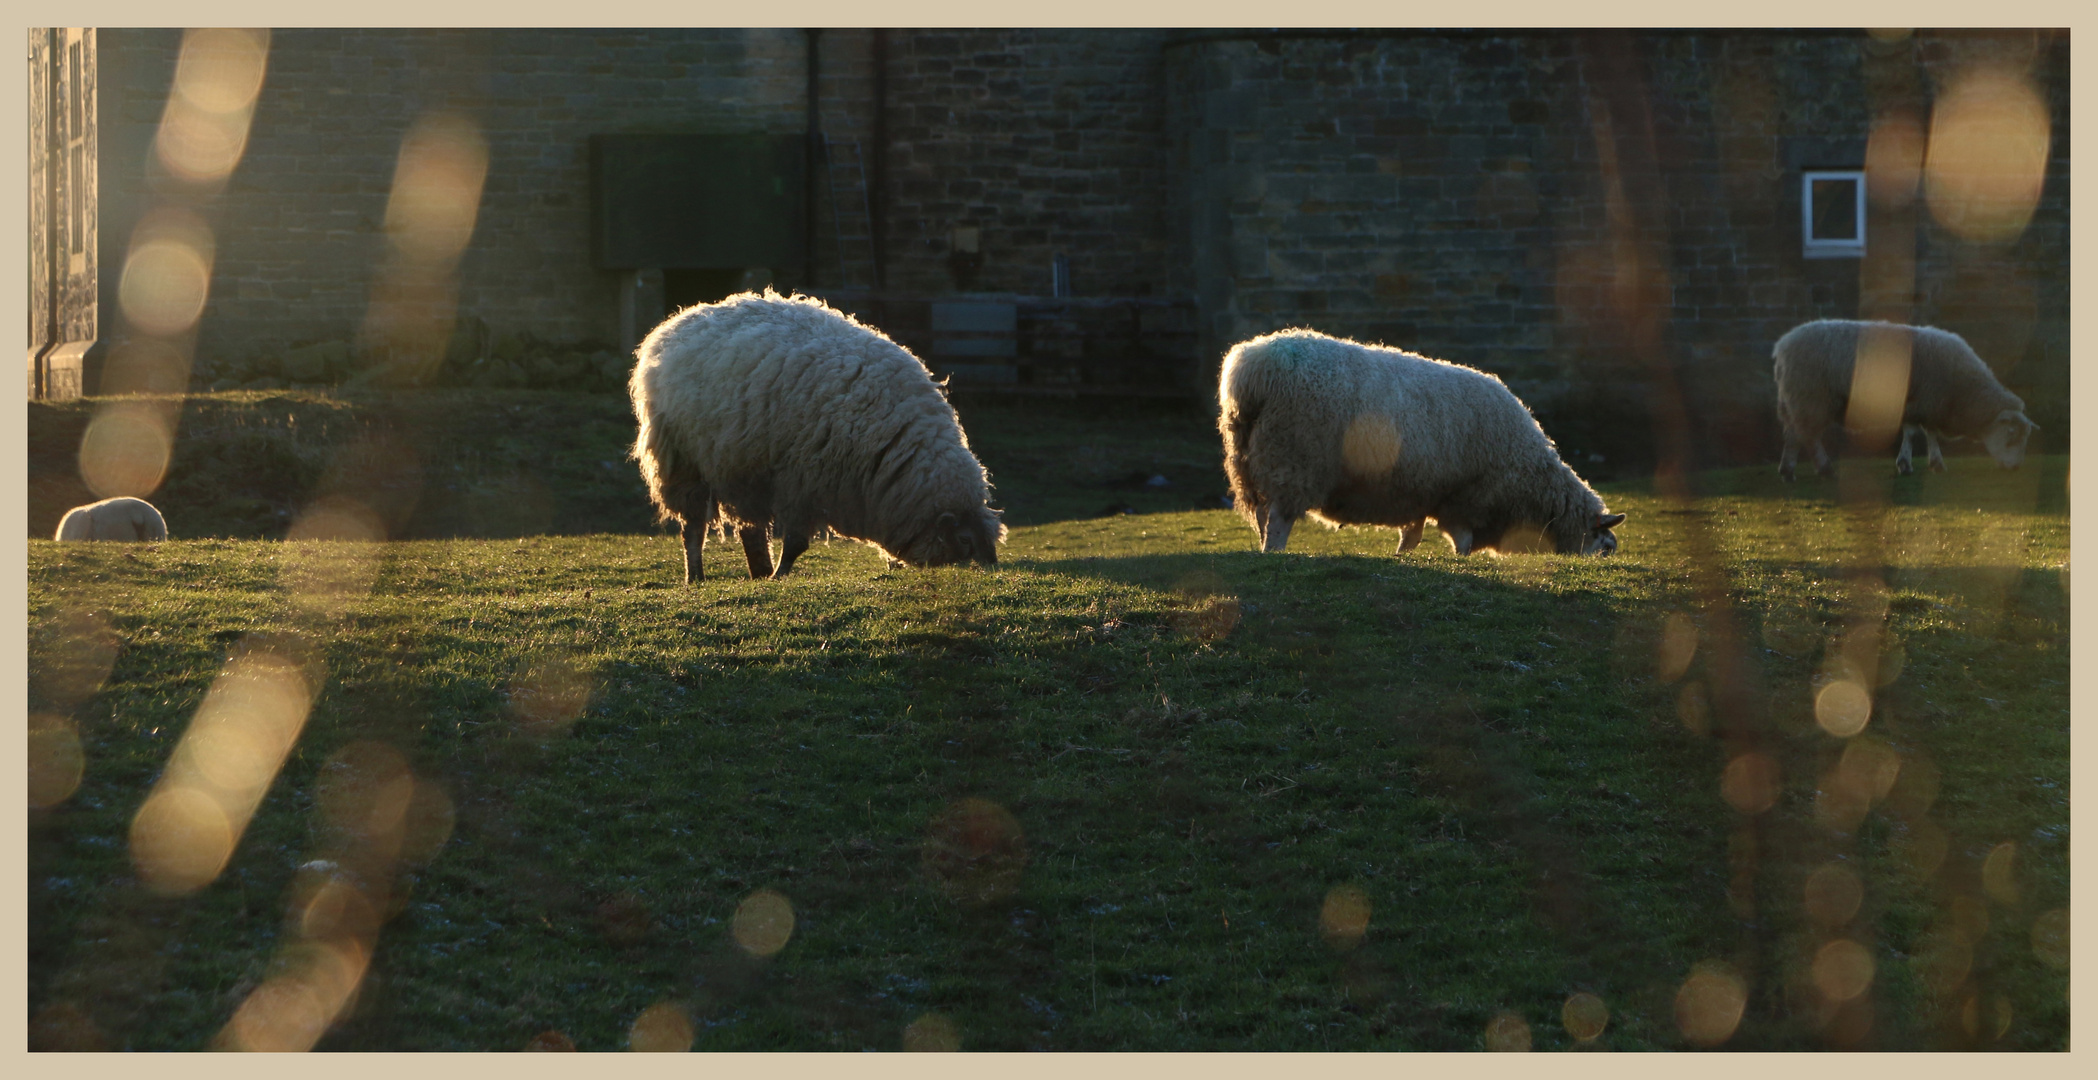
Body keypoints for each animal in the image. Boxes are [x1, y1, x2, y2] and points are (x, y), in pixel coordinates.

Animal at [629, 289, 1007, 582]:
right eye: (964, 541)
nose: (991, 572)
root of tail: (679, 320)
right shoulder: (804, 480)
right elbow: (797, 543)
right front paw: (782, 575)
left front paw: (775, 575)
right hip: (682, 460)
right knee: (694, 528)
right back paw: (697, 576)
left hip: (744, 468)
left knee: (751, 528)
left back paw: (759, 573)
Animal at [1225, 329, 1628, 557]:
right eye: (1606, 549)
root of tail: (1251, 369)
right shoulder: (1466, 499)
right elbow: (1461, 542)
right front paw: (1460, 562)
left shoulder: (1420, 493)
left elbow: (1412, 536)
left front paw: (1403, 556)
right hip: (1293, 459)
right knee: (1279, 519)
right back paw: (1275, 553)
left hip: (1253, 461)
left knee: (1262, 516)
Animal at [1770, 316, 2030, 482]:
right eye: (2010, 435)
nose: (2016, 467)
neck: (1963, 391)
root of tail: (1783, 345)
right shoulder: (1925, 401)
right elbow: (1919, 434)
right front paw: (1916, 464)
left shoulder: (1922, 404)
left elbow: (1922, 433)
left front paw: (1923, 463)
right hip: (1811, 397)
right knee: (1808, 436)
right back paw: (1822, 469)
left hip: (1798, 399)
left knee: (1794, 434)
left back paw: (1788, 471)